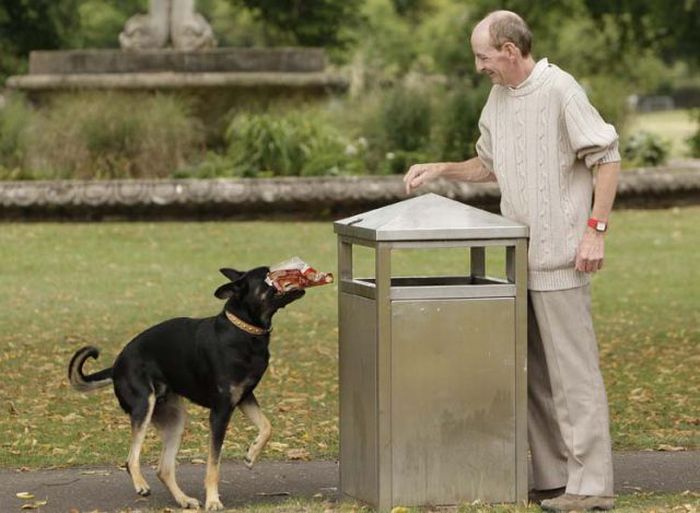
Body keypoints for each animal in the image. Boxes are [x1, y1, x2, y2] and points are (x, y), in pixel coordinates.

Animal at [67, 266, 304, 510]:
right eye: (267, 276)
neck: (243, 331)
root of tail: (116, 366)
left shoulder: (244, 397)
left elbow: (267, 427)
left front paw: (251, 454)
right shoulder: (220, 412)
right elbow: (213, 464)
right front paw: (213, 500)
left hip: (175, 420)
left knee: (164, 469)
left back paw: (184, 499)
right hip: (144, 406)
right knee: (131, 458)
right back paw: (141, 485)